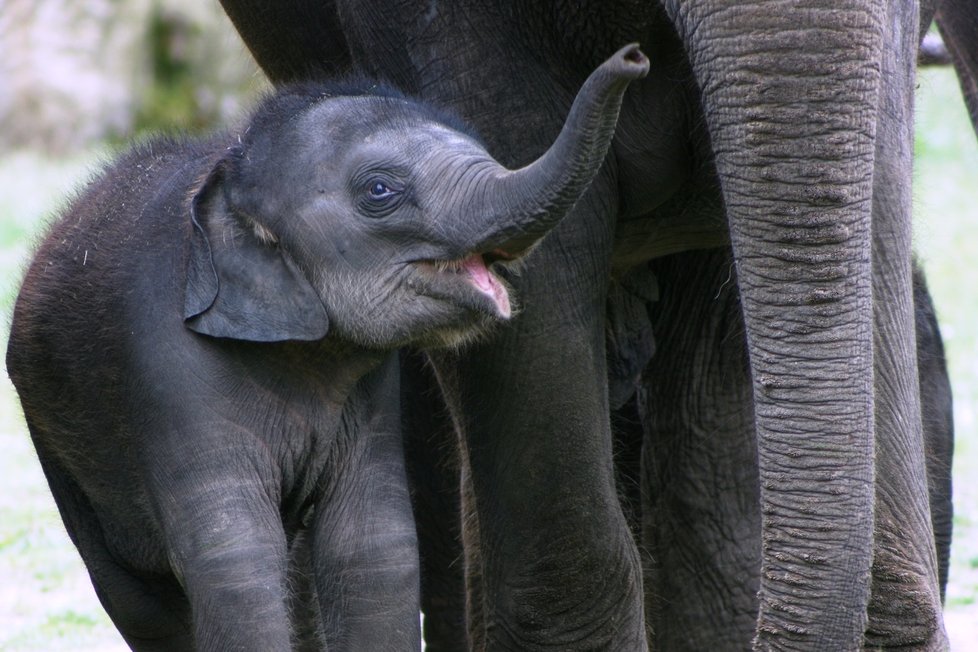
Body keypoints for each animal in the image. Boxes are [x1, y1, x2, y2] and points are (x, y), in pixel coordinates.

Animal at [7, 44, 648, 648]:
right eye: (380, 190)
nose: (634, 57)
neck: (231, 165)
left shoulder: (372, 392)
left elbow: (373, 547)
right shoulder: (166, 368)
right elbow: (234, 559)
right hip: (55, 441)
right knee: (140, 600)